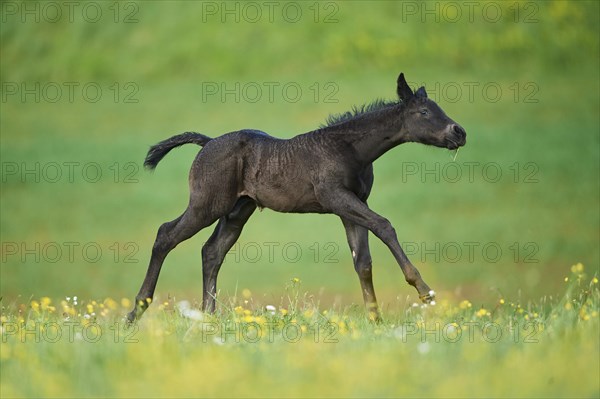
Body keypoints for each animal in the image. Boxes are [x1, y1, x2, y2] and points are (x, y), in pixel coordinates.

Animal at [126, 71, 466, 322]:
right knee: (166, 235)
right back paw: (137, 310)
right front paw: (423, 290)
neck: (350, 150)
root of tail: (206, 142)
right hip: (206, 204)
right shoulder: (336, 198)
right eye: (424, 111)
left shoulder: (353, 204)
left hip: (238, 209)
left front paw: (376, 321)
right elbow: (384, 225)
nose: (459, 132)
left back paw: (209, 319)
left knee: (211, 251)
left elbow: (363, 261)